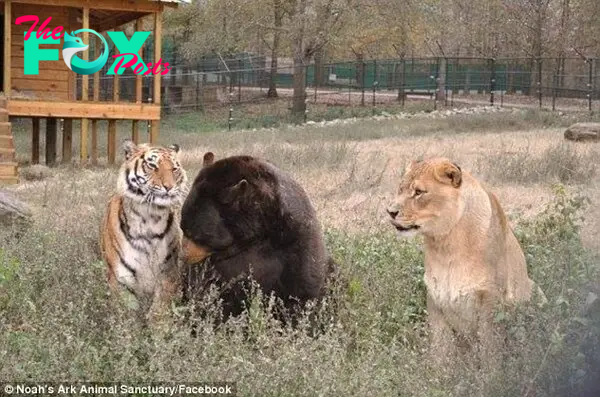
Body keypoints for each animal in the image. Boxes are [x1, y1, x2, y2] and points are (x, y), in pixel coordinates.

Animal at [99, 139, 188, 322]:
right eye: (152, 165)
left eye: (174, 169)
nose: (169, 187)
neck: (150, 217)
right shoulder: (121, 280)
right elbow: (126, 317)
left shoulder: (168, 274)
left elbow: (159, 312)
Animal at [178, 152, 338, 324]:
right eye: (182, 228)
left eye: (195, 234)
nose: (183, 256)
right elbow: (207, 287)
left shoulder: (295, 237)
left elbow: (304, 285)